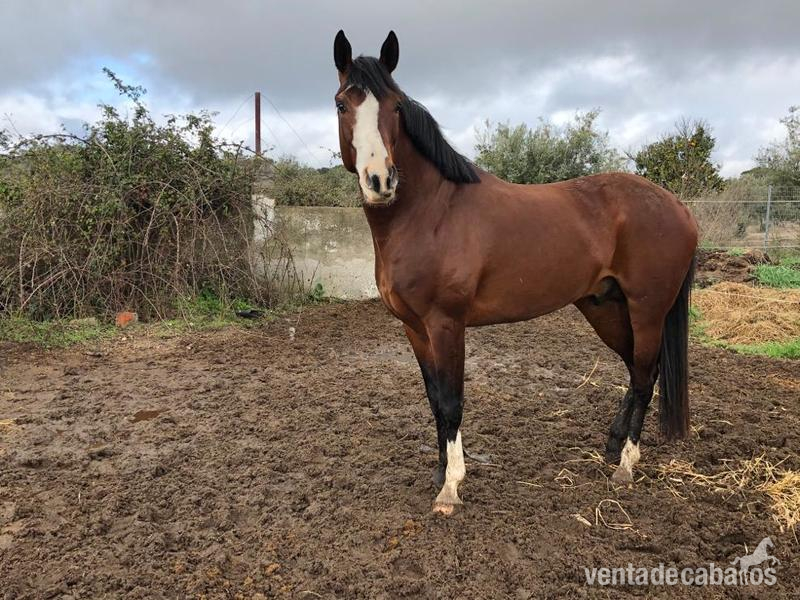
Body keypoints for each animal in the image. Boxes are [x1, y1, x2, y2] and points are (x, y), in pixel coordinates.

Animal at [332, 30, 698, 515]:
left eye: (395, 106)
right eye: (342, 104)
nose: (380, 181)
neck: (430, 213)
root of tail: (678, 207)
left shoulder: (447, 324)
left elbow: (452, 401)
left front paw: (451, 488)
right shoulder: (414, 328)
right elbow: (434, 401)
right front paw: (439, 474)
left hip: (647, 309)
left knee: (644, 377)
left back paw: (625, 465)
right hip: (605, 307)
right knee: (640, 371)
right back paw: (611, 447)